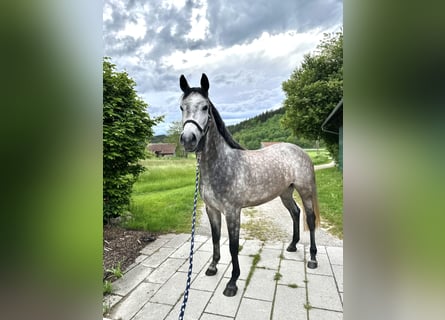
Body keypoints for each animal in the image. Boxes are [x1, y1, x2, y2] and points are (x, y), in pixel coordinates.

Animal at [178, 73, 320, 298]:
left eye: (205, 107)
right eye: (181, 107)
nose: (188, 139)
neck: (222, 164)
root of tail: (301, 152)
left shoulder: (232, 211)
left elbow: (233, 246)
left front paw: (232, 283)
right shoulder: (212, 209)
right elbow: (215, 238)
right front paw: (213, 267)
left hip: (304, 191)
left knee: (310, 218)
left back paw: (313, 259)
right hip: (285, 193)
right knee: (295, 213)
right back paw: (292, 245)